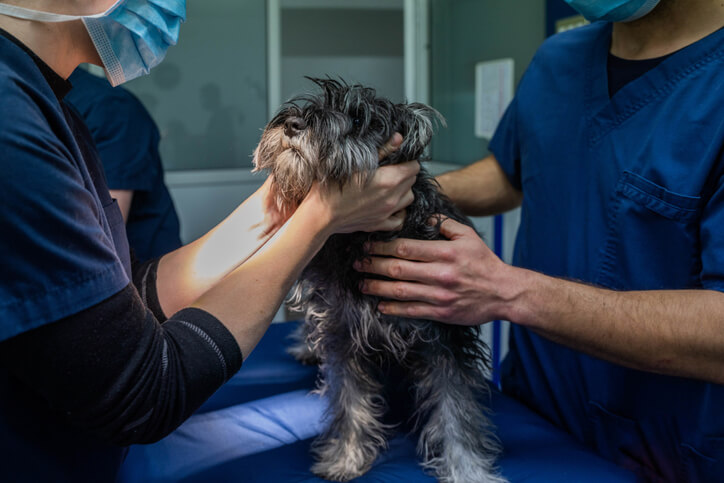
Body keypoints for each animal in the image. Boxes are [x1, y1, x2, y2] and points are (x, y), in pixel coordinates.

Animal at [252, 79, 506, 483]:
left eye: (358, 118)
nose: (292, 123)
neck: (360, 237)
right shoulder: (342, 332)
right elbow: (350, 401)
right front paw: (346, 457)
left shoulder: (444, 339)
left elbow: (456, 409)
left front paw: (468, 470)